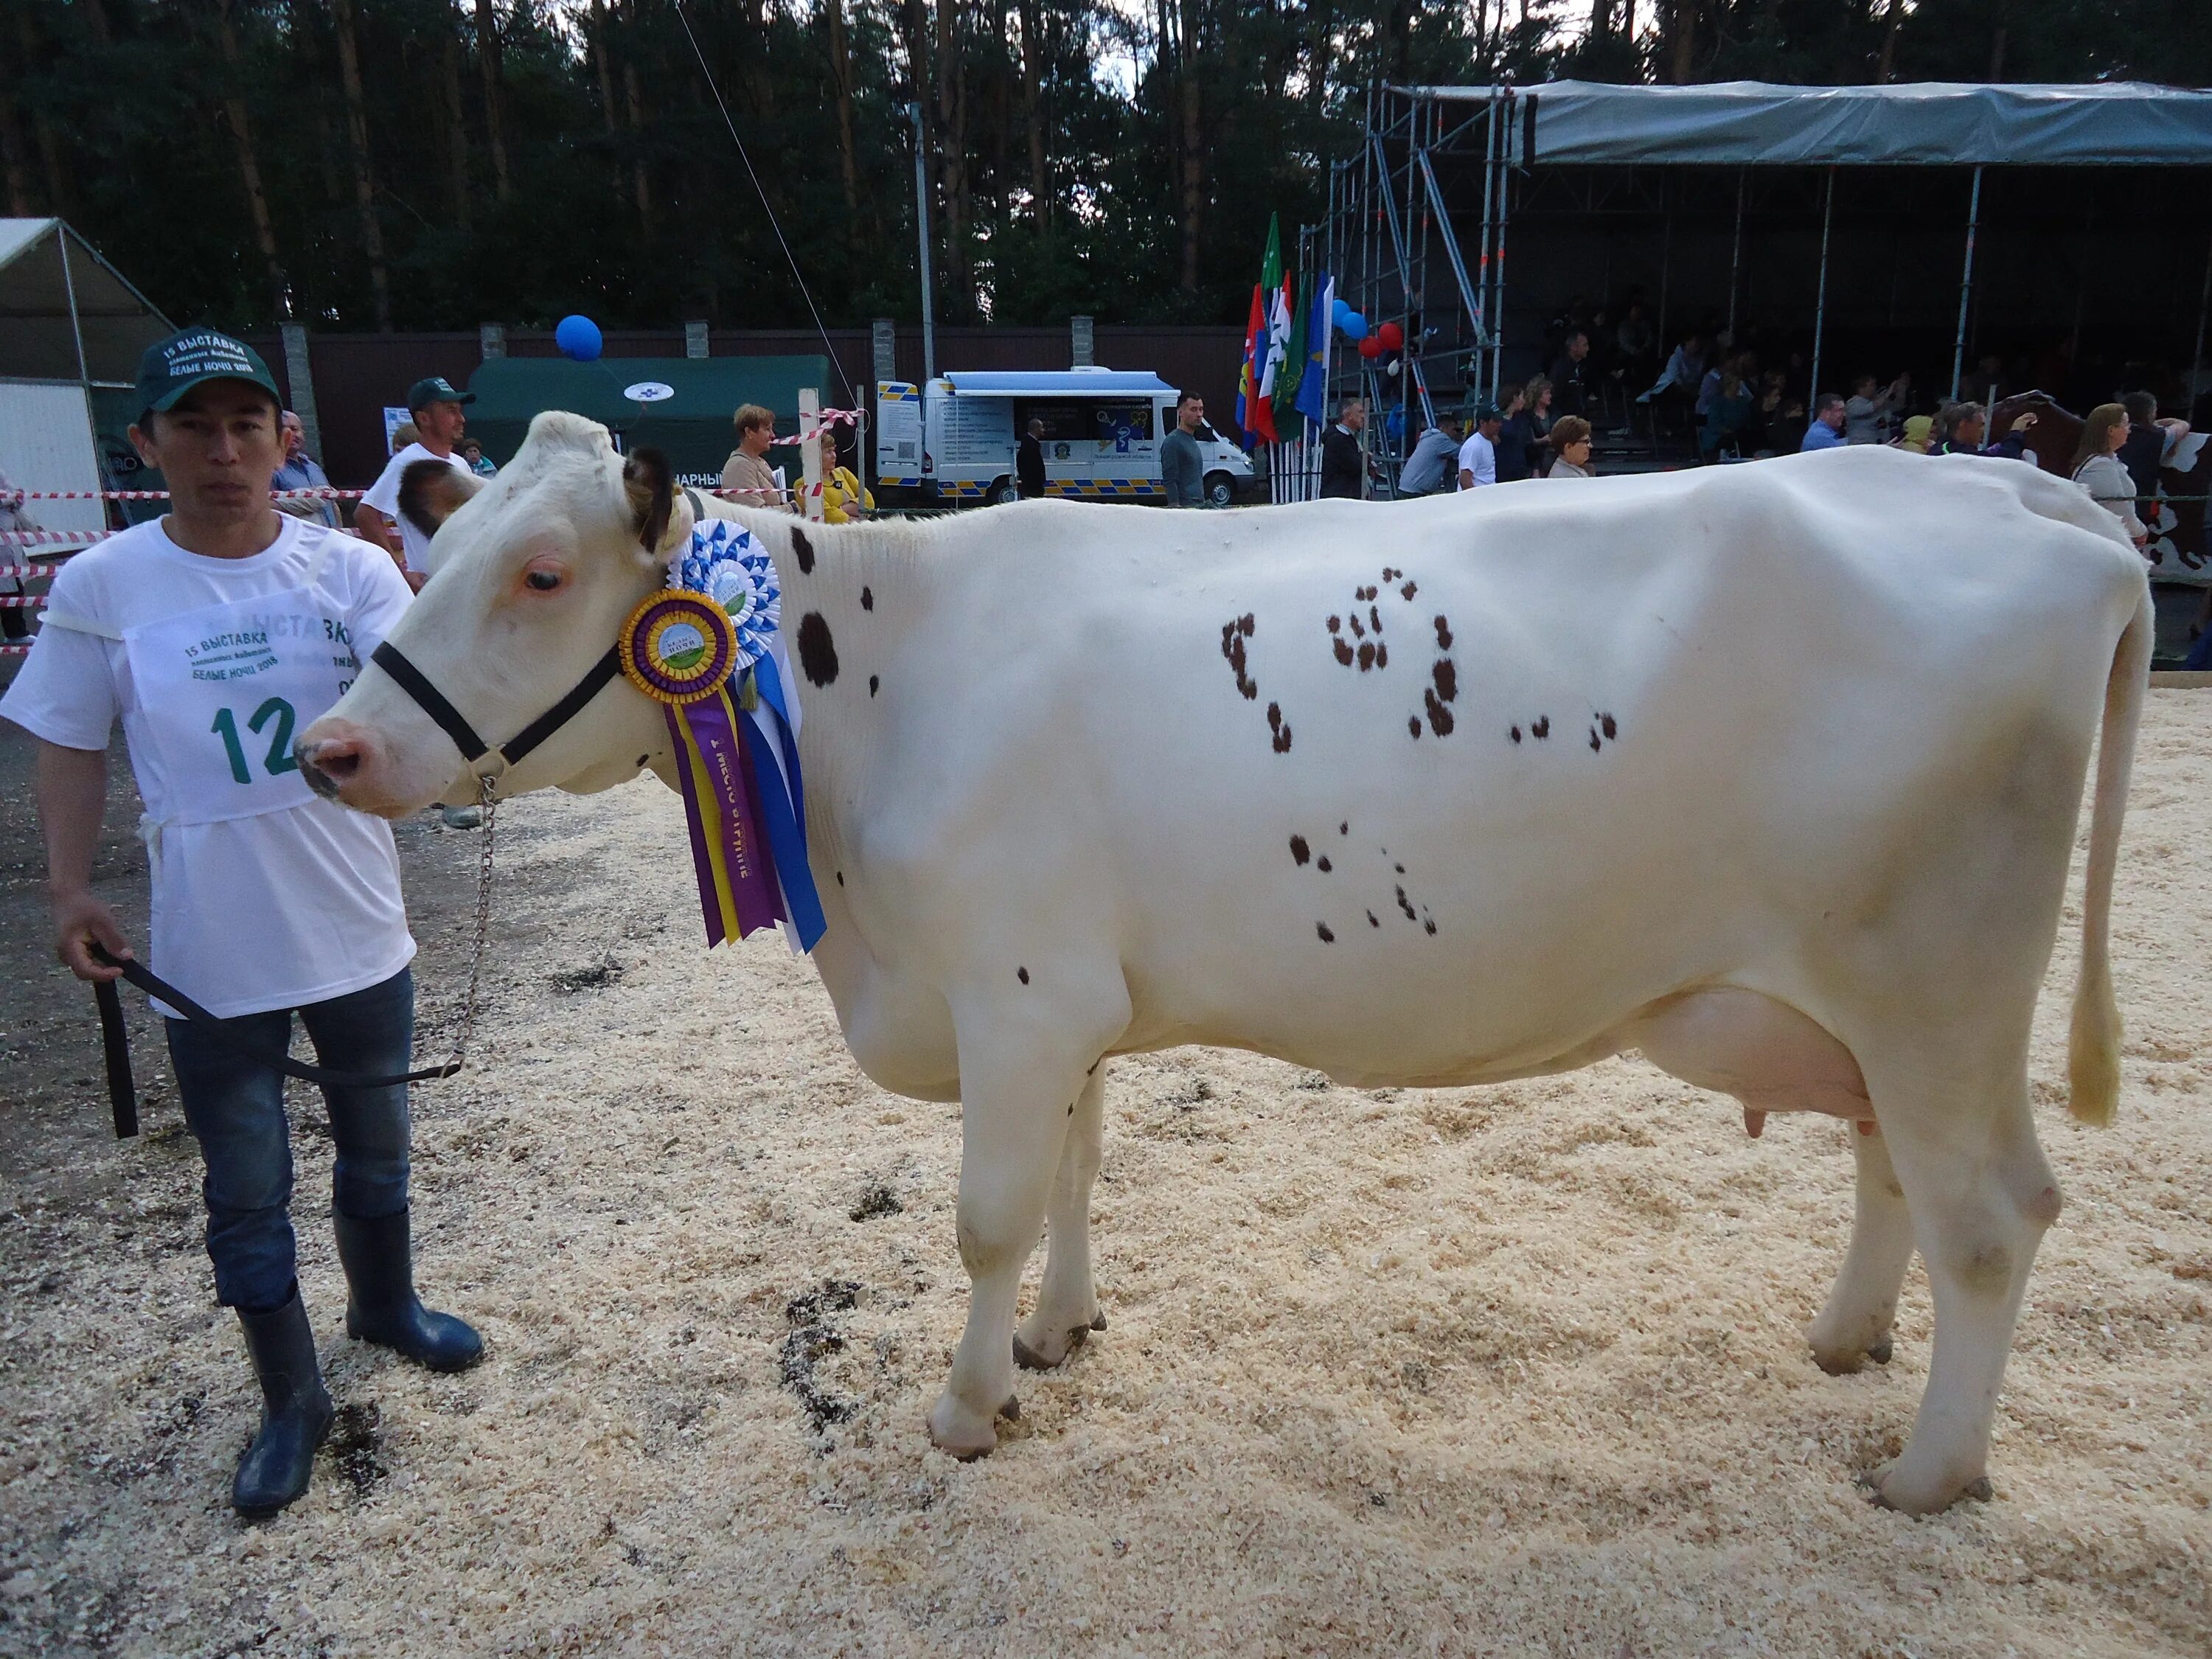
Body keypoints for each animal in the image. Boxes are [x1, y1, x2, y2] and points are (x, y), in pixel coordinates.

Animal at [294, 418, 2141, 1522]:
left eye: (544, 574)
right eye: (431, 551)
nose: (331, 748)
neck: (875, 685)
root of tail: (2025, 492)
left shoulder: (1013, 994)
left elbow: (985, 1215)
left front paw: (967, 1409)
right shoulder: (1071, 1007)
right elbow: (1076, 1175)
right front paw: (1060, 1336)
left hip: (1939, 984)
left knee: (1995, 1218)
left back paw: (1926, 1472)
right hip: (1877, 1002)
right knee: (1893, 1170)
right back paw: (1847, 1341)